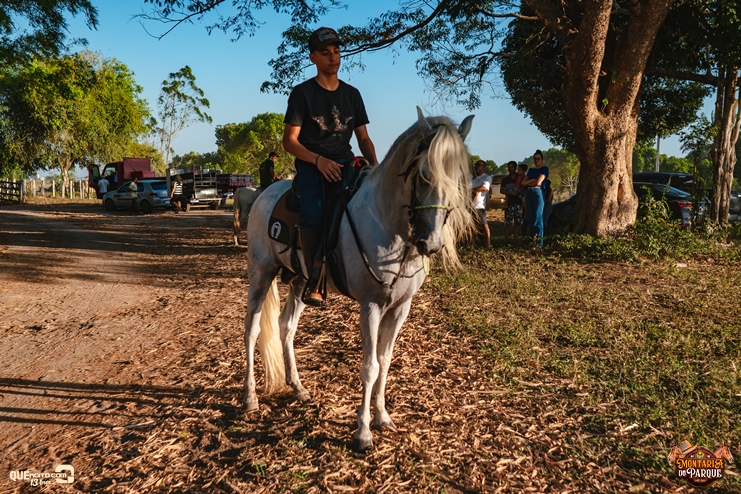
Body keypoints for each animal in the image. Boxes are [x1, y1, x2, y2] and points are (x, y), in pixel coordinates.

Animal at [243, 107, 475, 451]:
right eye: (424, 173)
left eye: (459, 177)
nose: (430, 244)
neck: (388, 225)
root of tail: (265, 193)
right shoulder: (371, 306)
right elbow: (370, 366)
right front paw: (363, 432)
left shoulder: (400, 308)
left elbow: (385, 360)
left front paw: (383, 417)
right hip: (261, 273)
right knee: (252, 330)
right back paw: (250, 397)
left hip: (300, 282)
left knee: (287, 328)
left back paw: (298, 387)